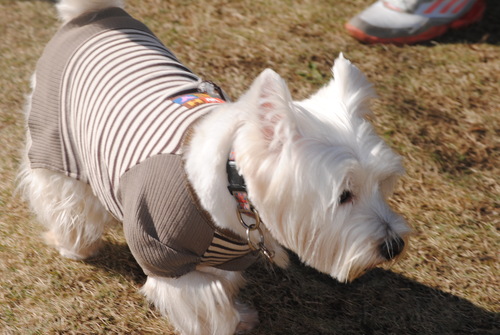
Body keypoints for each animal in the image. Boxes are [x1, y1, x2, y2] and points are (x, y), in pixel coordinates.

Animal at [19, 1, 410, 334]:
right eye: (344, 195)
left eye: (383, 184)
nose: (394, 247)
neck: (232, 186)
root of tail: (94, 14)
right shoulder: (168, 260)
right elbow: (209, 305)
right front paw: (233, 321)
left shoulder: (225, 260)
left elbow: (225, 286)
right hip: (56, 141)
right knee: (64, 197)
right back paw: (72, 244)